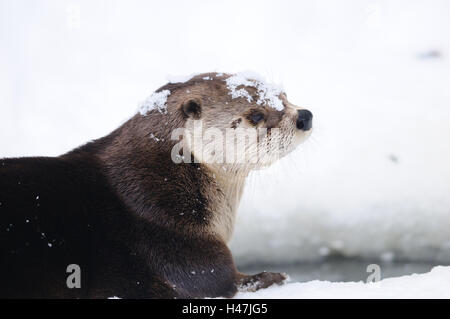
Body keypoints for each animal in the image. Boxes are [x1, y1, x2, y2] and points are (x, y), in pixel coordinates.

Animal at [0, 72, 312, 300]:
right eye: (256, 115)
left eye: (284, 96)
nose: (304, 116)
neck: (161, 187)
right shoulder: (179, 243)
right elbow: (221, 281)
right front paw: (271, 277)